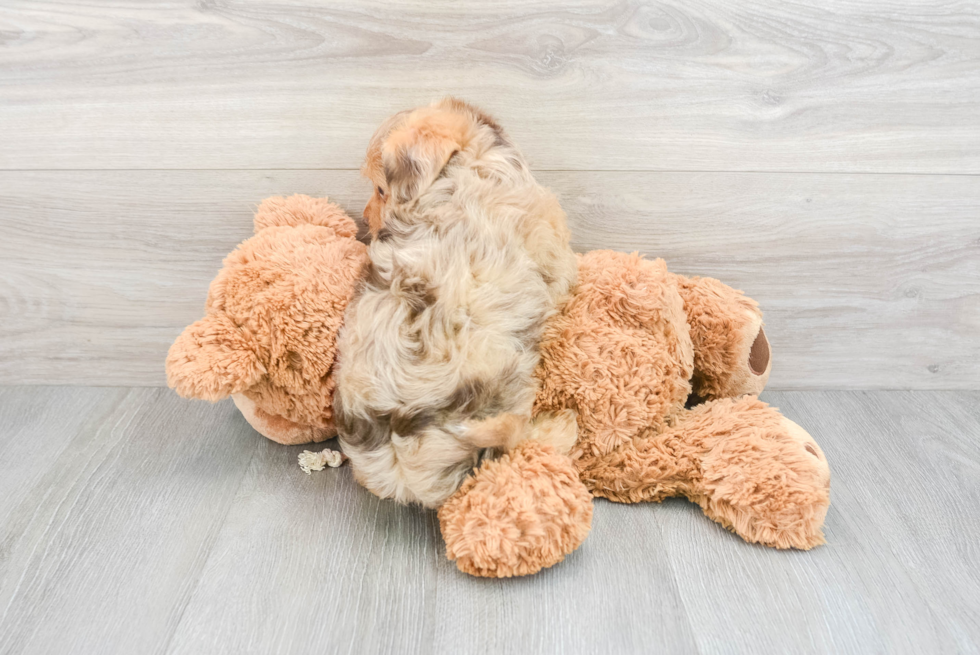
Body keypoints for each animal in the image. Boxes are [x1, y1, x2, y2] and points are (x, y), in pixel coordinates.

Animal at [334, 98, 580, 508]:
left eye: (381, 190)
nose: (366, 221)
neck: (461, 170)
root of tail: (402, 459)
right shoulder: (552, 247)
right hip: (504, 389)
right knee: (513, 441)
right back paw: (561, 425)